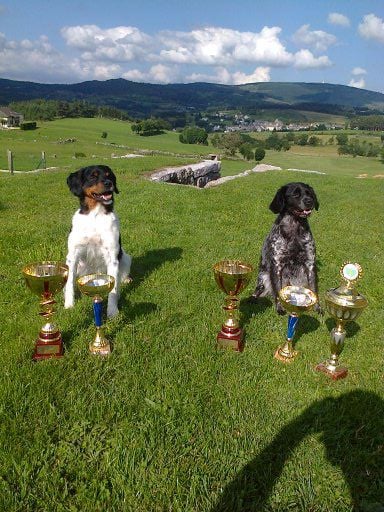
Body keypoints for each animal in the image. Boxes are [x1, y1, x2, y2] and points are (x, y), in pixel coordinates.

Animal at [64, 165, 132, 316]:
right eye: (93, 176)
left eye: (109, 175)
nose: (108, 183)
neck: (95, 216)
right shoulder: (73, 255)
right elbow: (70, 282)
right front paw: (69, 305)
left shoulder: (112, 256)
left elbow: (113, 290)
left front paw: (112, 312)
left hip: (125, 257)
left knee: (121, 277)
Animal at [249, 182, 318, 314]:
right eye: (295, 194)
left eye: (309, 193)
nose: (309, 201)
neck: (294, 228)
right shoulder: (277, 264)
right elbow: (277, 291)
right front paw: (280, 308)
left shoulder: (310, 263)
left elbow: (313, 288)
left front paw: (318, 308)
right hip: (263, 277)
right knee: (259, 291)